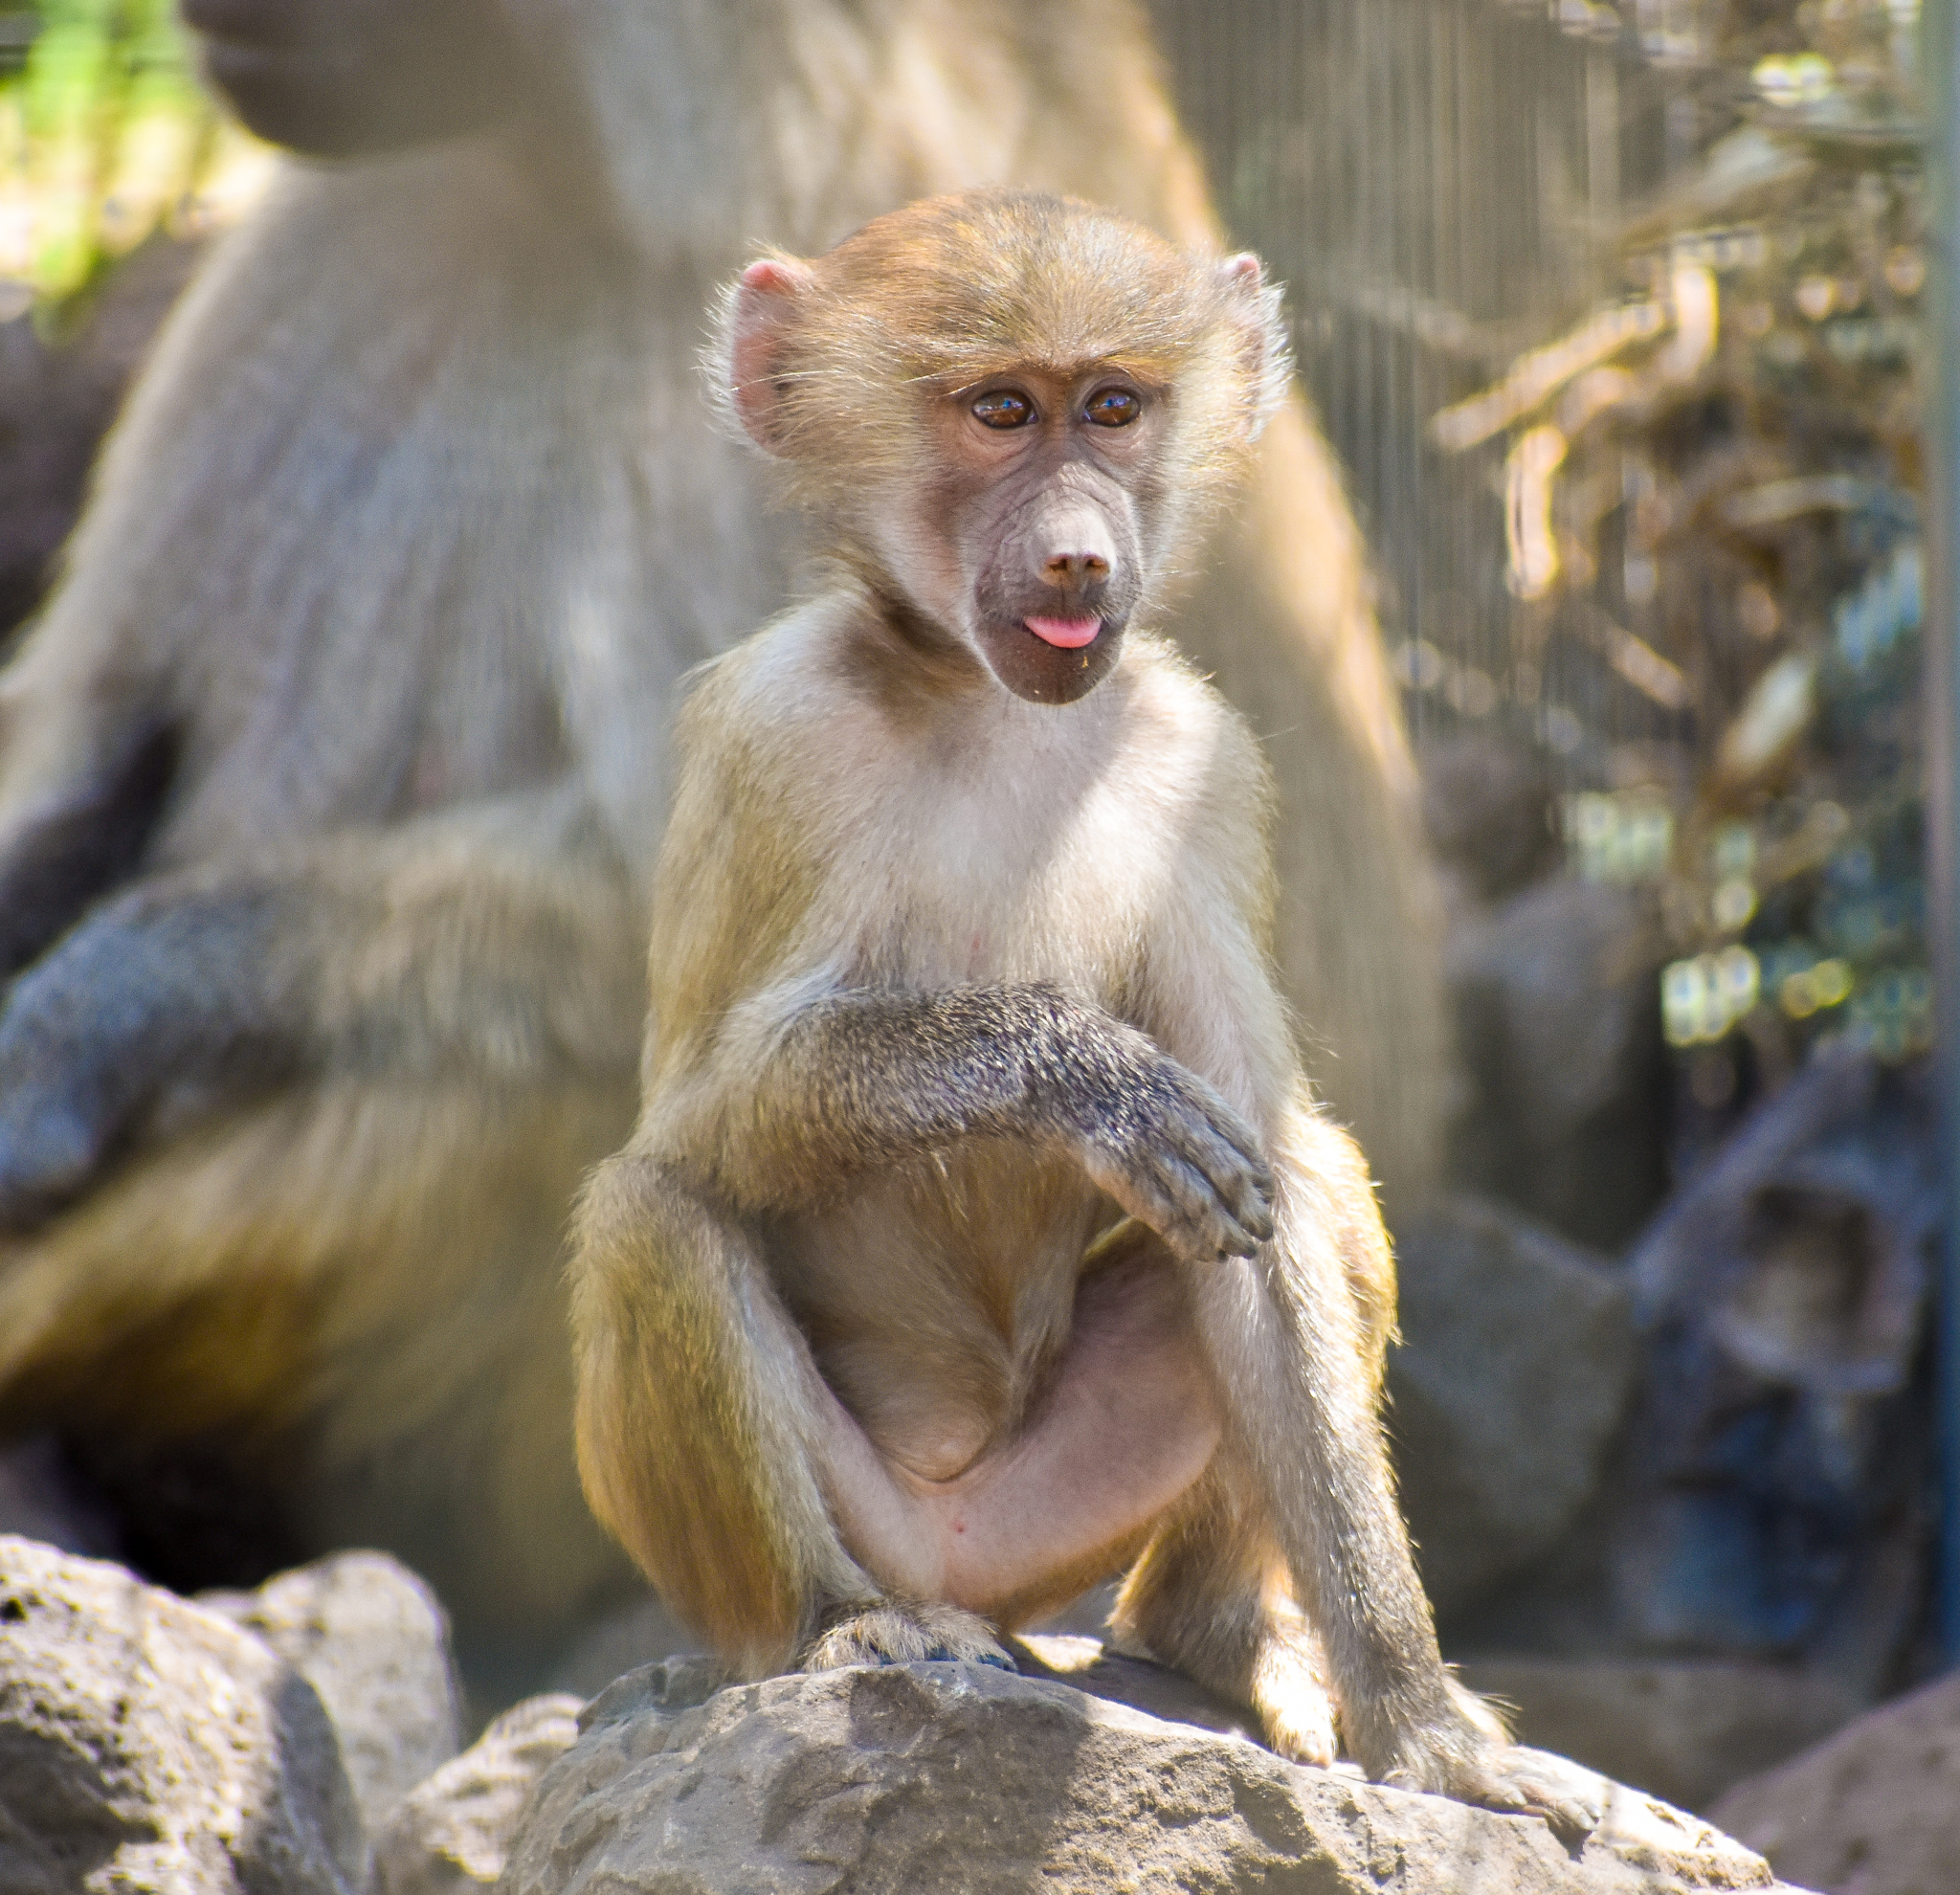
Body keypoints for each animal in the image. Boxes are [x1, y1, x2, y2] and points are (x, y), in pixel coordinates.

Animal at [567, 189, 1591, 1833]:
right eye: (999, 411)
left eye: (1113, 408)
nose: (1075, 559)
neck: (985, 706)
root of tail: (972, 1573)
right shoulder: (776, 738)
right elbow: (700, 1119)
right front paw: (1078, 1076)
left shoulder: (1202, 763)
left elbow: (1266, 1191)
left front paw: (1426, 1729)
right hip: (839, 1543)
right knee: (646, 1211)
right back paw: (834, 1627)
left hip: (1063, 1526)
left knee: (1321, 1179)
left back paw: (1215, 1635)